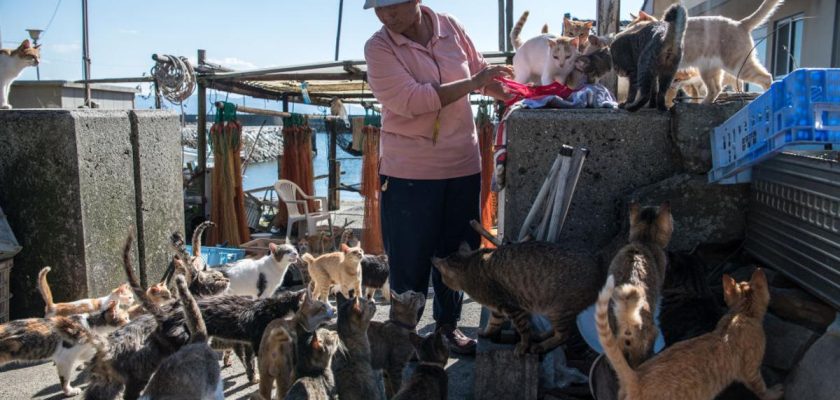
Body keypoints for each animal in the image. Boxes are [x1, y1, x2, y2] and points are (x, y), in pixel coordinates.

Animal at [434, 241, 604, 354]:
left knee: (564, 335)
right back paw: (542, 335)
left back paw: (541, 345)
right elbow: (493, 323)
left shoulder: (512, 307)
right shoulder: (498, 309)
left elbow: (523, 330)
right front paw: (486, 333)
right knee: (558, 331)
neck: (470, 266)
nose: (442, 281)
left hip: (558, 310)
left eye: (443, 277)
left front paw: (523, 346)